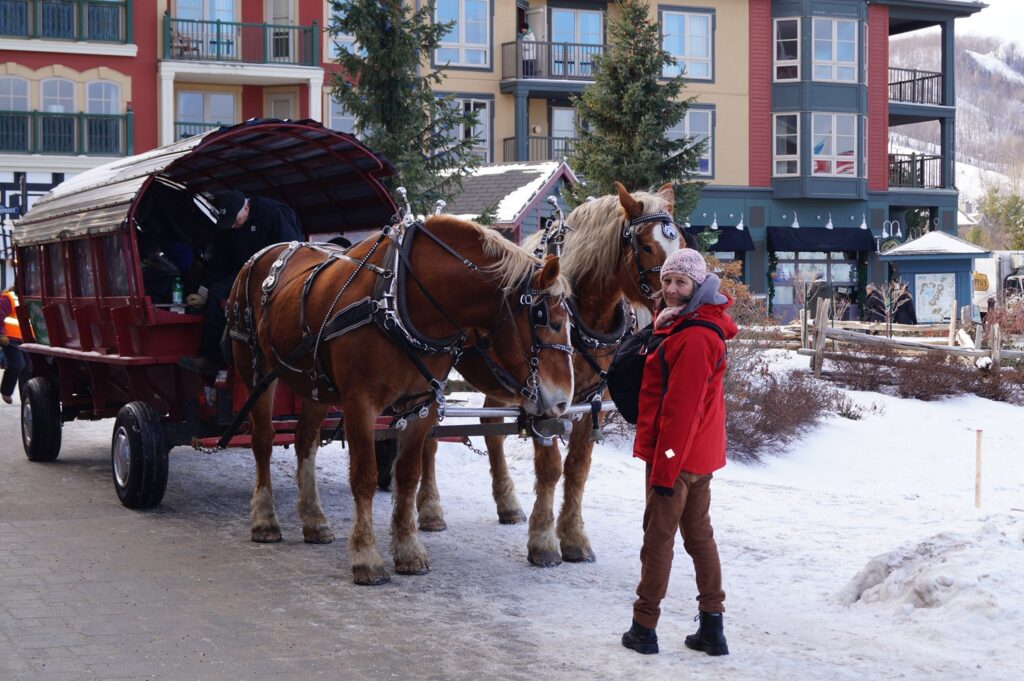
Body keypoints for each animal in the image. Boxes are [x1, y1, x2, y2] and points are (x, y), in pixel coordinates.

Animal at [226, 214, 577, 585]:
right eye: (552, 322)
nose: (562, 403)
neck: (401, 299)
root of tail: (261, 256)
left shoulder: (421, 403)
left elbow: (408, 475)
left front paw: (408, 549)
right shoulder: (360, 403)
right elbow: (364, 476)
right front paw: (366, 556)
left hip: (314, 382)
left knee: (304, 439)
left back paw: (313, 519)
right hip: (256, 369)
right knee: (263, 441)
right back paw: (264, 518)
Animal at [415, 180, 679, 561]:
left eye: (680, 242)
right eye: (645, 245)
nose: (669, 302)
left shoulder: (590, 401)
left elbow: (578, 469)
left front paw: (573, 537)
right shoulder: (546, 399)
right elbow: (551, 468)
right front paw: (543, 539)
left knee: (491, 428)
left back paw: (507, 503)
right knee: (429, 437)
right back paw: (430, 509)